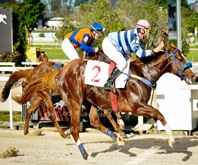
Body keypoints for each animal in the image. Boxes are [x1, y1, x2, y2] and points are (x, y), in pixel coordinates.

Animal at [13, 42, 196, 160]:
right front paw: (172, 140)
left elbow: (155, 115)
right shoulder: (136, 107)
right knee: (72, 128)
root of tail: (60, 72)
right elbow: (160, 114)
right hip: (74, 101)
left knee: (93, 120)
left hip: (90, 101)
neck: (142, 73)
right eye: (180, 58)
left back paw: (117, 138)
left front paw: (129, 129)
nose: (194, 76)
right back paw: (83, 151)